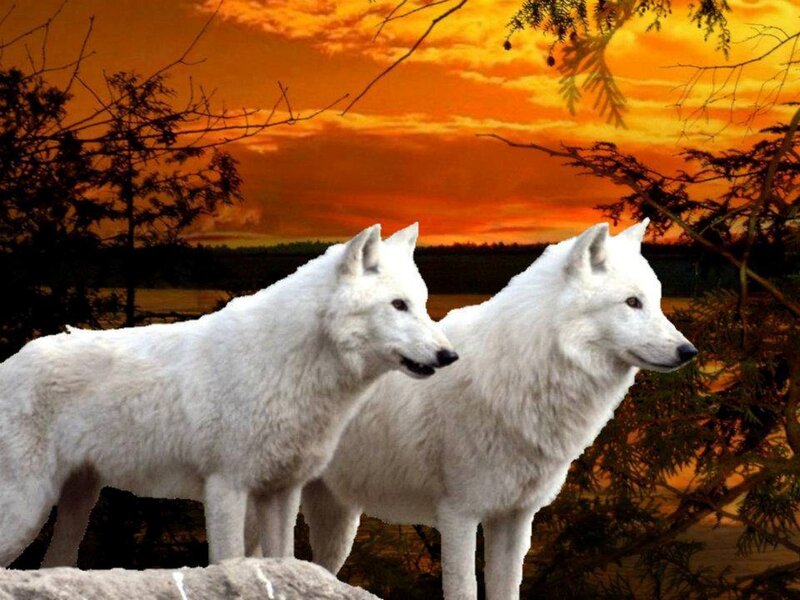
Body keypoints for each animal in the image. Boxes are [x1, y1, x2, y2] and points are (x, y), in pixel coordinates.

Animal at [0, 223, 459, 567]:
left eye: (422, 305)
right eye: (398, 305)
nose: (449, 355)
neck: (290, 368)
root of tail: (9, 362)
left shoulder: (281, 493)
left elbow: (281, 560)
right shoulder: (226, 487)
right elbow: (229, 561)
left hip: (77, 502)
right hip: (28, 509)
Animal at [302, 220, 698, 600]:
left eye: (657, 302)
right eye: (632, 302)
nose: (689, 351)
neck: (524, 372)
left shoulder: (514, 518)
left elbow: (507, 589)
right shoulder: (459, 516)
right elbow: (464, 590)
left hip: (337, 525)